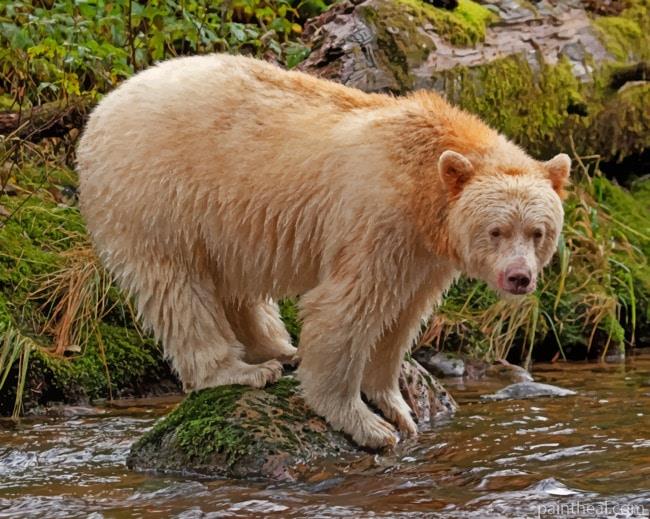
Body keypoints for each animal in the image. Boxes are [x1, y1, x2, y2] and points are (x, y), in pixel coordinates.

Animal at [76, 54, 570, 449]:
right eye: (496, 231)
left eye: (538, 232)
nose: (519, 277)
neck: (422, 184)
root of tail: (102, 108)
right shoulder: (377, 221)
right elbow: (347, 308)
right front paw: (367, 424)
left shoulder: (424, 252)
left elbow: (402, 317)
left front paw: (397, 407)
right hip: (157, 195)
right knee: (177, 289)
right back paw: (240, 370)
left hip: (221, 220)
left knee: (232, 283)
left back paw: (278, 348)